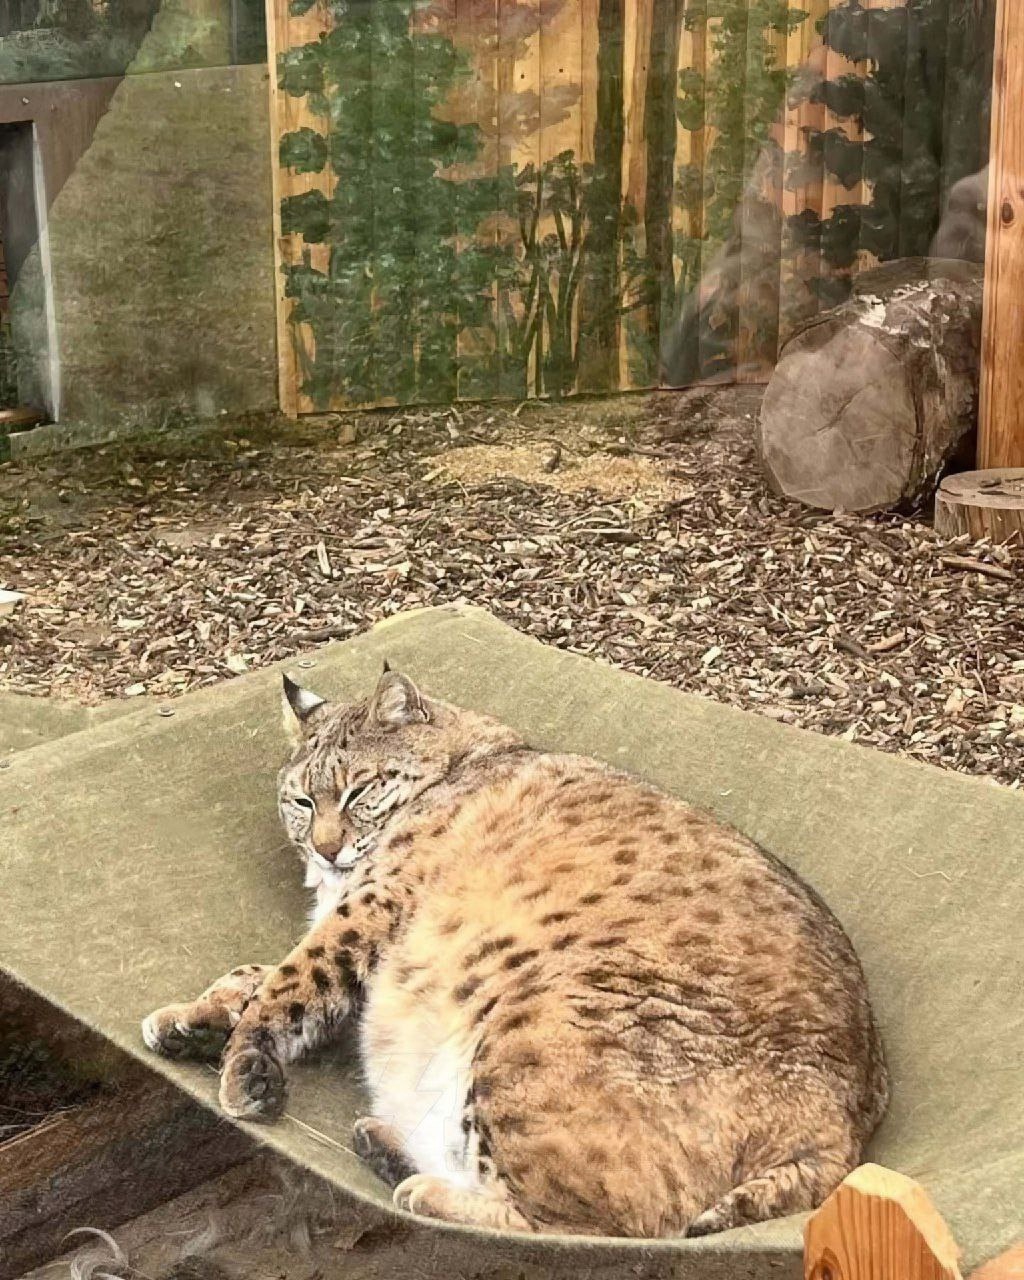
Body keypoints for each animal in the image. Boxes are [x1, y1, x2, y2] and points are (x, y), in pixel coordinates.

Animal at [142, 665, 889, 1238]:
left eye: (359, 791)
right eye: (301, 801)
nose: (325, 850)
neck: (464, 756)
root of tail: (849, 1126)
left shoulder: (376, 903)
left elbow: (293, 977)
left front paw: (243, 1062)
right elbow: (257, 971)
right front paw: (195, 1020)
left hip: (534, 1015)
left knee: (620, 1227)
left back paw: (422, 1190)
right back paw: (388, 1150)